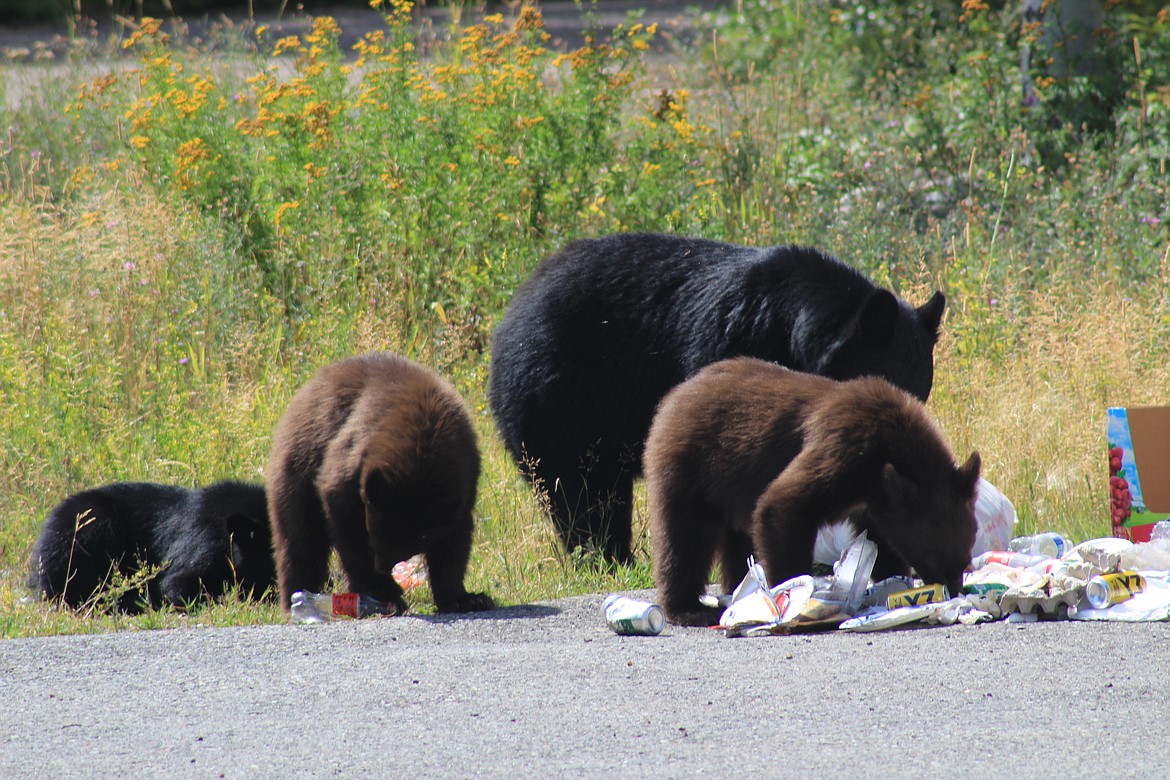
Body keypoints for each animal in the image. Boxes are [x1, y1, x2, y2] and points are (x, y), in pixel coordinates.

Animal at [267, 353, 496, 617]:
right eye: (377, 531)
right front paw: (382, 590)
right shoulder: (350, 466)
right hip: (298, 465)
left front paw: (465, 599)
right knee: (300, 538)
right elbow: (348, 528)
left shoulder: (462, 487)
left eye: (419, 537)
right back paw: (295, 598)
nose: (383, 566)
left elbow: (453, 543)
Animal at [489, 235, 945, 563]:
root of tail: (512, 312)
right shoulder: (733, 344)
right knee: (579, 494)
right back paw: (605, 559)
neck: (793, 331)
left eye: (921, 393)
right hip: (560, 400)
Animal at [641, 360, 978, 626]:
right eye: (935, 562)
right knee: (685, 536)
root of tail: (677, 393)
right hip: (690, 464)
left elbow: (881, 540)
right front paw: (792, 598)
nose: (955, 590)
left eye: (966, 557)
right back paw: (690, 608)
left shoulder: (877, 501)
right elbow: (784, 504)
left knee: (736, 539)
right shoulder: (844, 449)